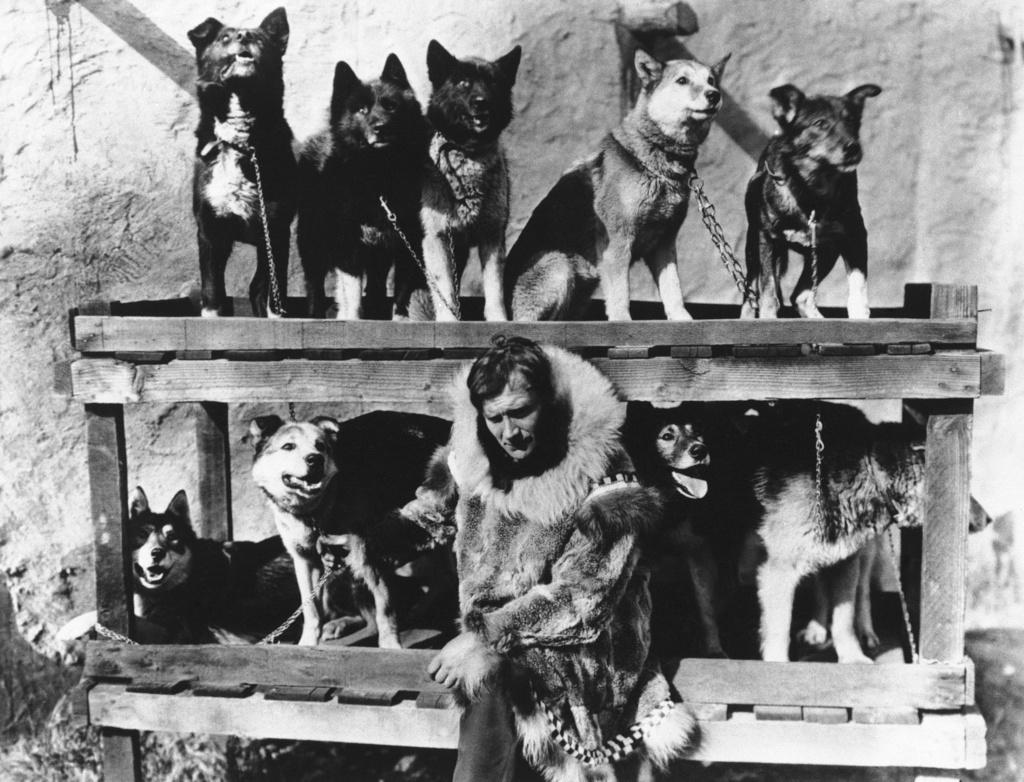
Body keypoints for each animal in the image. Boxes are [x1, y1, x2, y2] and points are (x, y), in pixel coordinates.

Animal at [187, 6, 296, 317]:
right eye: (224, 37)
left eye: (259, 39)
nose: (244, 35)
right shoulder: (210, 229)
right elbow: (213, 290)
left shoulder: (277, 229)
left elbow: (275, 291)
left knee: (259, 287)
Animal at [247, 409, 452, 646]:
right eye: (288, 446)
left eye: (320, 446)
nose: (315, 459)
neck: (317, 510)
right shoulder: (305, 560)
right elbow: (311, 611)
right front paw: (307, 644)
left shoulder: (371, 555)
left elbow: (385, 610)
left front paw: (391, 646)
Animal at [409, 38, 520, 321]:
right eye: (463, 83)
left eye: (493, 82)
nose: (482, 102)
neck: (466, 153)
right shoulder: (436, 238)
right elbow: (444, 289)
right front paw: (448, 321)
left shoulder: (492, 237)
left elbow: (494, 289)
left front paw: (499, 320)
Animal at [503, 48, 729, 321]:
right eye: (682, 80)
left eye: (711, 81)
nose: (714, 95)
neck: (656, 159)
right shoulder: (618, 242)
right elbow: (621, 294)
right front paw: (623, 321)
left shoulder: (664, 245)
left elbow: (673, 288)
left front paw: (681, 318)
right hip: (560, 265)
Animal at [741, 83, 884, 321]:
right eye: (820, 123)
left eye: (852, 122)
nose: (853, 147)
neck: (813, 190)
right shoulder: (767, 239)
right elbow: (768, 290)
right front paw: (768, 318)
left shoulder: (854, 236)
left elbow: (858, 285)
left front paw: (860, 316)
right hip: (753, 246)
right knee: (751, 290)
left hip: (824, 253)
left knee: (800, 295)